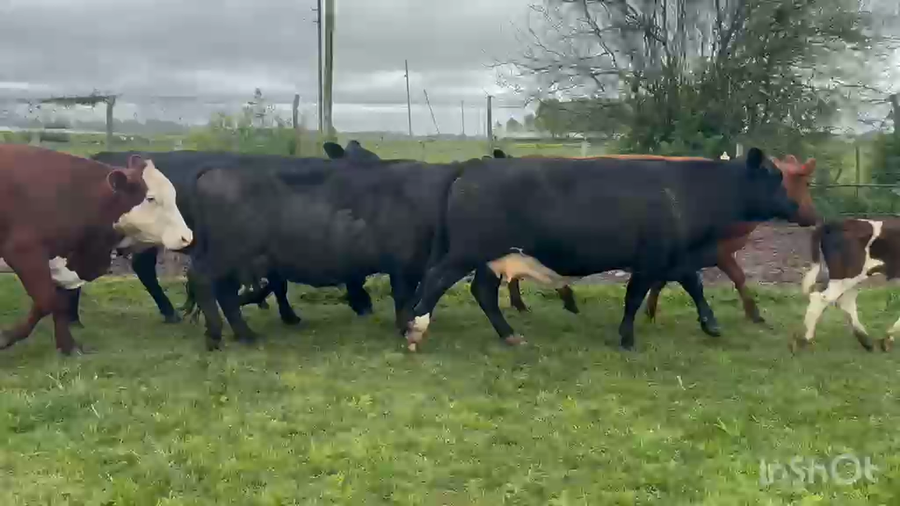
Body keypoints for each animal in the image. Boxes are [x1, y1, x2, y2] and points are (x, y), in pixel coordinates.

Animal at [0, 145, 191, 355]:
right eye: (151, 198)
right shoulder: (24, 254)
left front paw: (68, 347)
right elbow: (46, 301)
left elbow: (59, 304)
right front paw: (5, 337)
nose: (186, 237)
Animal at [401, 147, 816, 352]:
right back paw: (415, 330)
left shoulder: (676, 255)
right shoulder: (651, 258)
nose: (805, 212)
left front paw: (710, 324)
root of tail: (473, 167)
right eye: (775, 177)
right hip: (468, 250)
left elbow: (694, 285)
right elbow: (634, 297)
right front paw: (627, 338)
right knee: (436, 280)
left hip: (491, 257)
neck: (687, 189)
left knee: (483, 293)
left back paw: (509, 335)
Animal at [796, 218, 900, 353]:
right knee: (820, 298)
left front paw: (888, 338)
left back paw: (866, 341)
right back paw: (805, 339)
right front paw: (889, 337)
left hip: (851, 280)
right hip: (847, 276)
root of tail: (835, 224)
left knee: (846, 302)